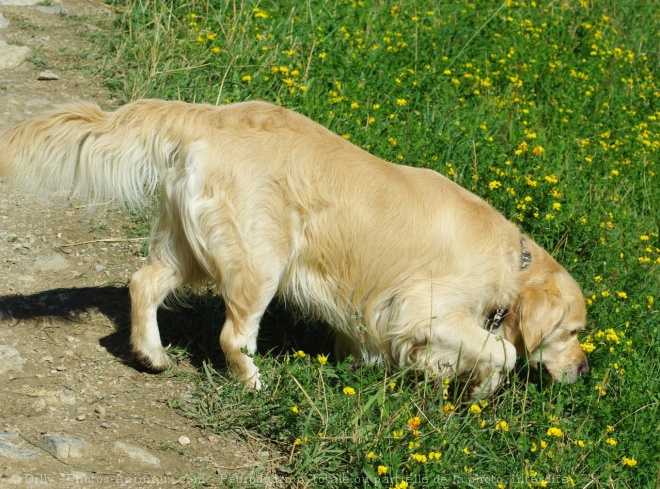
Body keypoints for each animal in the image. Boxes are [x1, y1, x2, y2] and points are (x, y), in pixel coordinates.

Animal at [0, 98, 588, 396]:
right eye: (574, 333)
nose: (584, 371)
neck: (516, 262)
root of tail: (208, 114)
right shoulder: (420, 308)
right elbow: (502, 351)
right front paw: (479, 387)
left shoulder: (371, 312)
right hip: (261, 260)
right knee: (233, 336)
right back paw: (257, 384)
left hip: (187, 247)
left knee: (142, 282)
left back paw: (152, 354)